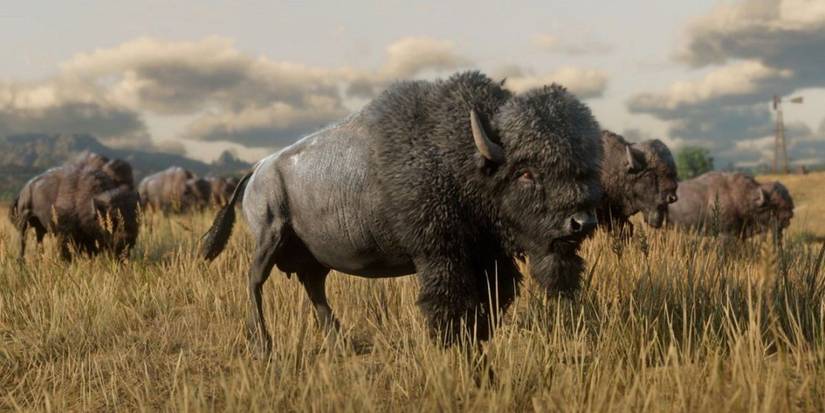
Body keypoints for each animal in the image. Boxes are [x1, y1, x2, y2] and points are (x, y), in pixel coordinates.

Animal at [9, 163, 140, 260]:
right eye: (112, 219)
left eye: (136, 218)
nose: (128, 238)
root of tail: (23, 191)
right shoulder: (64, 234)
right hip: (24, 222)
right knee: (22, 242)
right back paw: (21, 261)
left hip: (40, 228)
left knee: (39, 240)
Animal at [201, 72, 603, 355]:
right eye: (526, 173)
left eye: (586, 168)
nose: (580, 222)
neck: (460, 155)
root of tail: (258, 169)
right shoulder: (440, 255)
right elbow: (447, 301)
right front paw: (452, 344)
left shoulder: (488, 258)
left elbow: (491, 299)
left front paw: (478, 337)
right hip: (269, 238)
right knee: (255, 282)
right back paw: (263, 346)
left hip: (313, 256)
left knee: (314, 288)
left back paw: (340, 342)